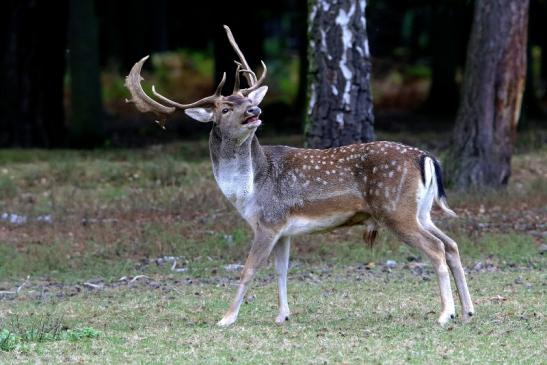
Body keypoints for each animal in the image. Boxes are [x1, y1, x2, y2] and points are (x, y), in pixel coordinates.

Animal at [125, 26, 476, 328]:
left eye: (248, 100)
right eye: (225, 108)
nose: (255, 111)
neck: (248, 189)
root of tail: (425, 157)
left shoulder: (268, 221)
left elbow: (249, 269)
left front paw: (226, 318)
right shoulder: (283, 229)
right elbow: (281, 270)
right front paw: (282, 315)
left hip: (395, 209)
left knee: (436, 249)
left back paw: (445, 314)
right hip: (421, 211)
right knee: (452, 244)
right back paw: (468, 310)